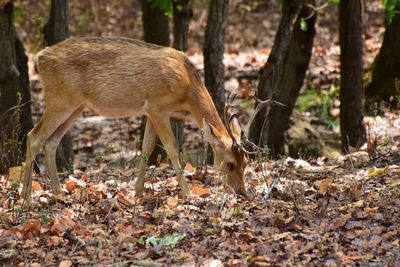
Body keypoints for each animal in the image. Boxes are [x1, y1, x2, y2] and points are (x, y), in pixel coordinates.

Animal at [21, 36, 272, 205]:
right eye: (229, 164)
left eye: (246, 163)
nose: (242, 192)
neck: (187, 89)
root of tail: (39, 59)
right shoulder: (157, 105)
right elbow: (171, 148)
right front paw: (188, 193)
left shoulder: (150, 112)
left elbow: (146, 148)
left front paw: (137, 192)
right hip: (60, 100)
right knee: (33, 137)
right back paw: (26, 198)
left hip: (76, 106)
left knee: (50, 142)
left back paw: (58, 193)